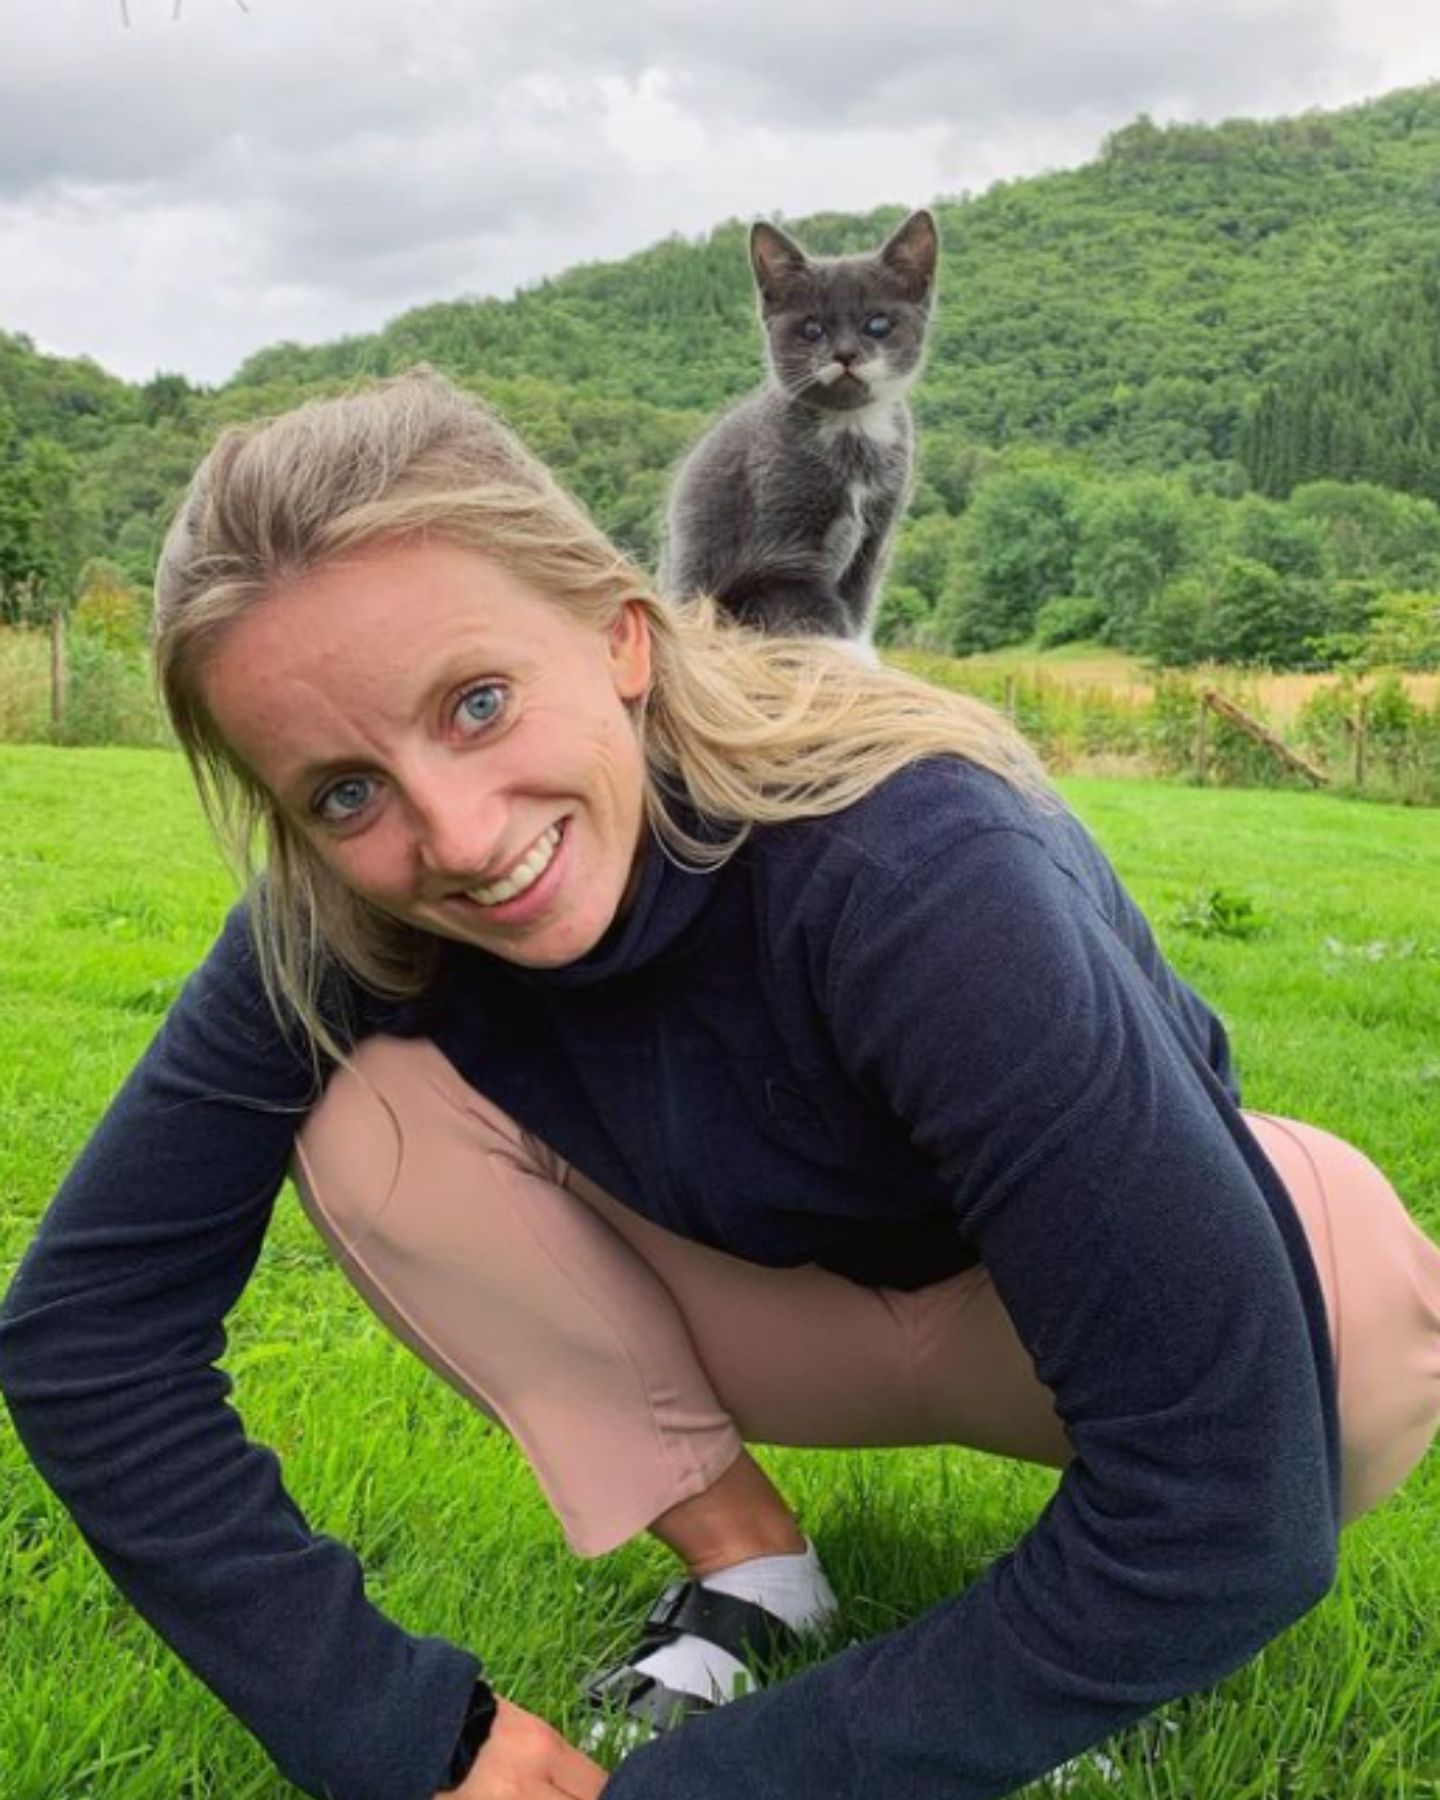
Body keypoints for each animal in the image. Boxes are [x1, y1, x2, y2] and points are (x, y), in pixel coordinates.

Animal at [662, 207, 936, 655]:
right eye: (812, 329)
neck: (850, 435)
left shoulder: (873, 543)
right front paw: (852, 660)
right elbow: (817, 615)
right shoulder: (780, 554)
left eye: (878, 323)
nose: (845, 354)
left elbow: (857, 611)